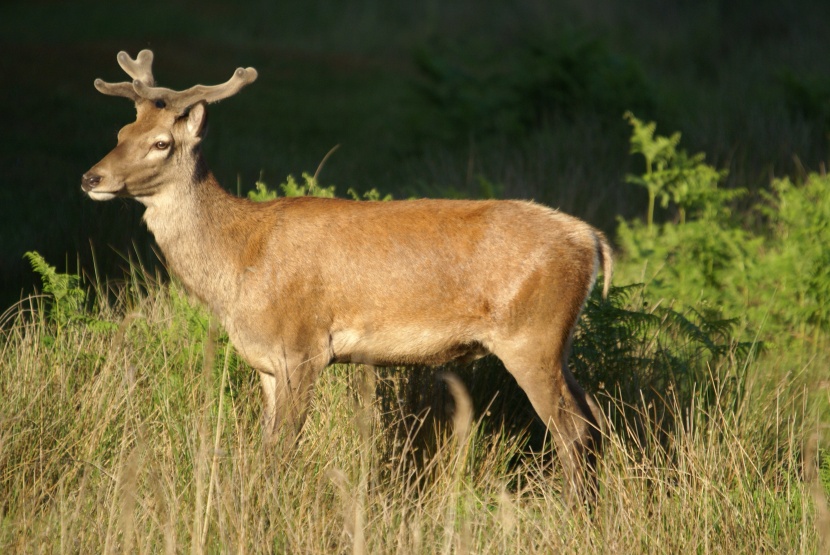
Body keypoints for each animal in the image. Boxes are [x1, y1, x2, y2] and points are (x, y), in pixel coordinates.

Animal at [83, 51, 612, 504]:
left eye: (161, 143)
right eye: (122, 130)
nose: (92, 178)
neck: (239, 260)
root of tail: (592, 241)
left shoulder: (303, 347)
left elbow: (283, 449)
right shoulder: (266, 363)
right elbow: (264, 446)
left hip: (530, 336)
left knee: (572, 429)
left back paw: (572, 510)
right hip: (555, 342)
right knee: (595, 415)